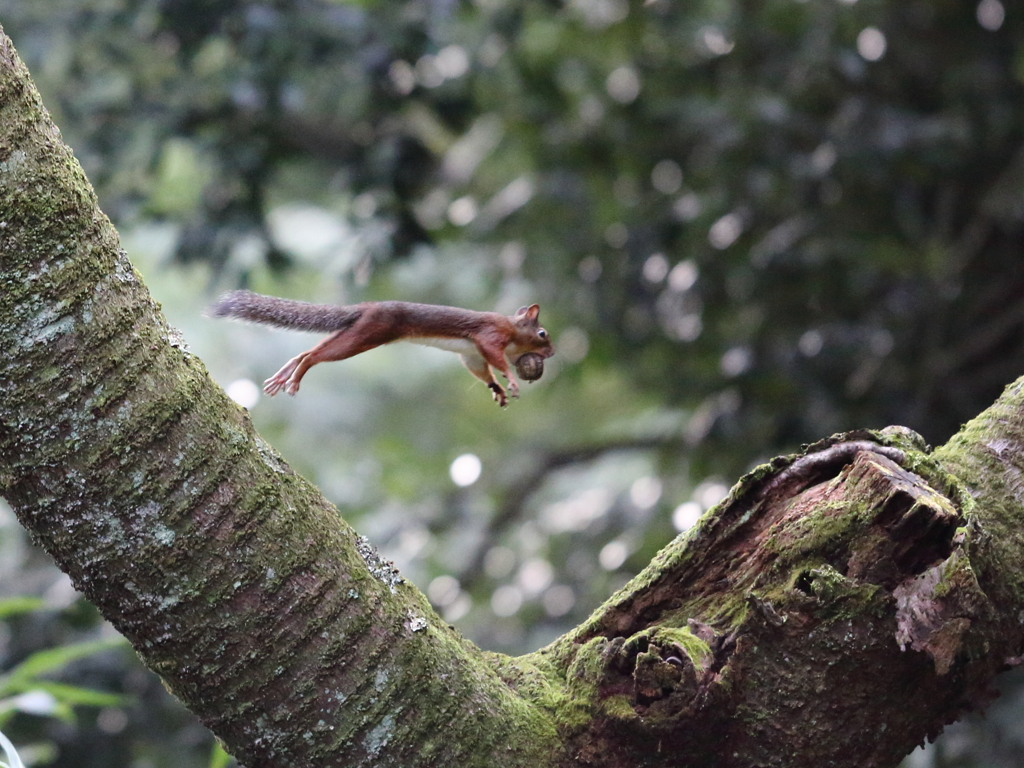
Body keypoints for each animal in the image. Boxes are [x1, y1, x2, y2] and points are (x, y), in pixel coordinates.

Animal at [208, 290, 557, 409]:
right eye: (543, 333)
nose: (552, 353)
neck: (512, 328)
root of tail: (368, 307)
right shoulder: (490, 336)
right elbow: (496, 358)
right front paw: (511, 380)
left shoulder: (470, 354)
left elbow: (480, 369)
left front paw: (496, 388)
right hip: (366, 335)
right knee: (315, 356)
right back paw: (296, 377)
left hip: (355, 332)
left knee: (306, 352)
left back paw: (285, 374)